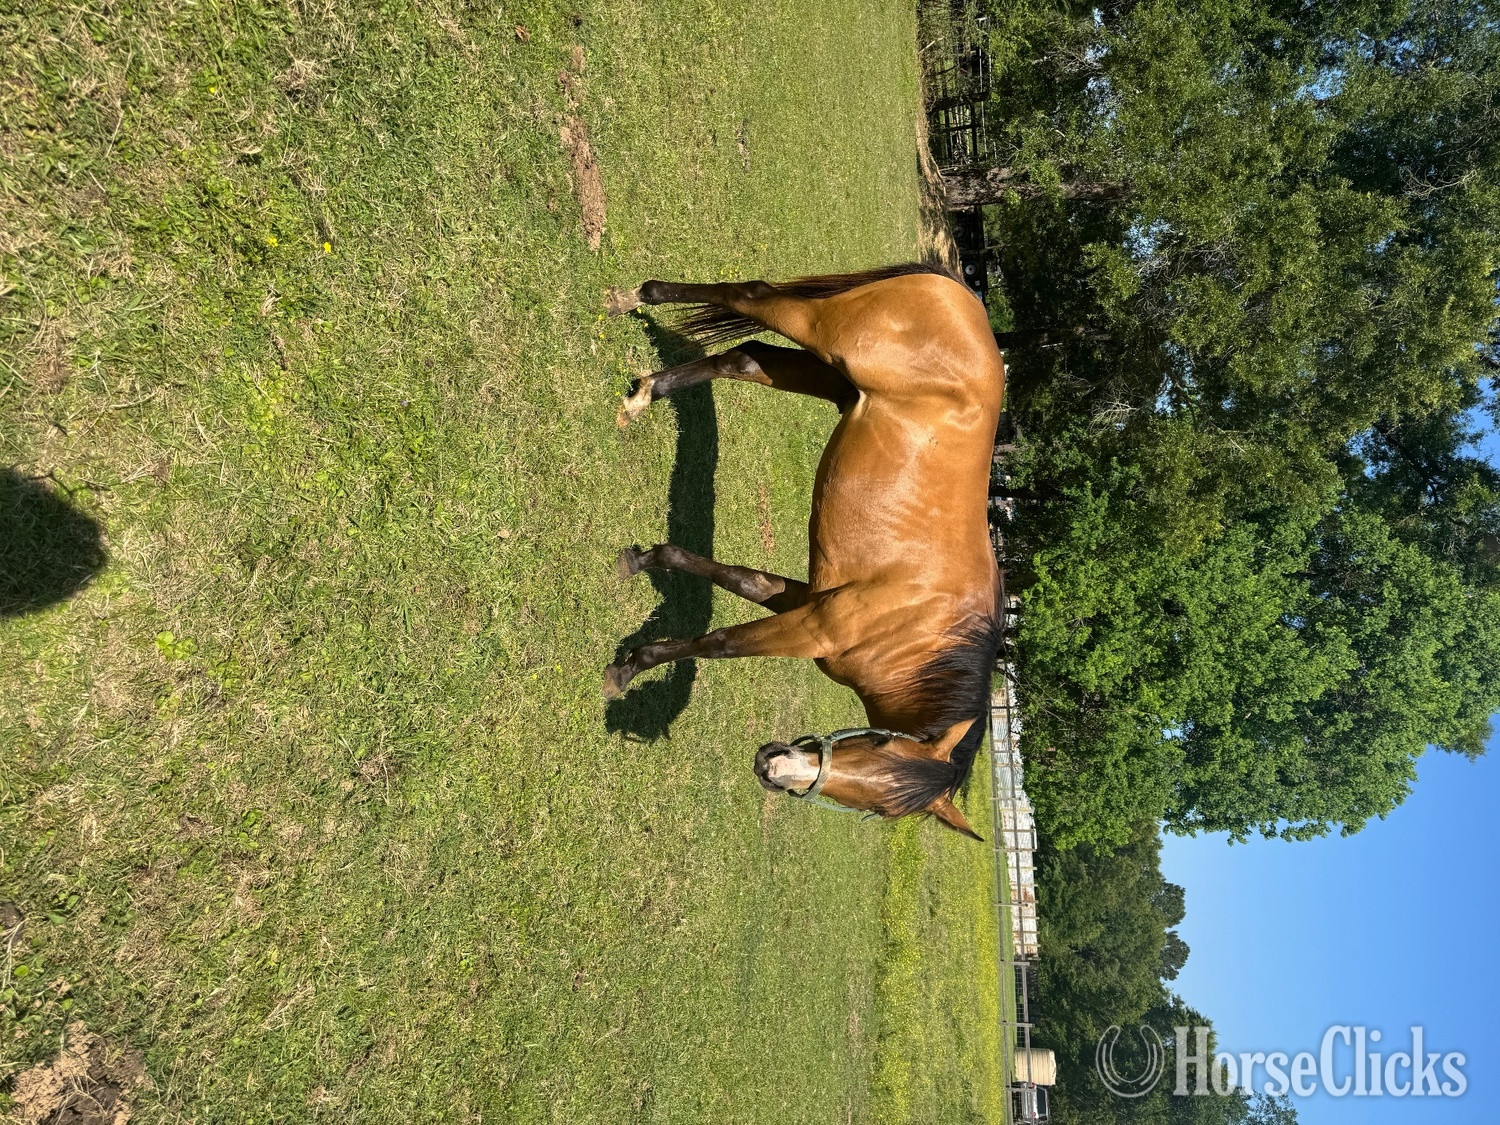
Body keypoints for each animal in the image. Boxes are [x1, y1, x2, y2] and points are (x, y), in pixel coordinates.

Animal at [603, 263, 1005, 840]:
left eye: (881, 811)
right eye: (876, 743)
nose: (772, 767)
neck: (921, 638)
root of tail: (962, 296)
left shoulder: (806, 599)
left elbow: (739, 578)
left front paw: (646, 560)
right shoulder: (812, 627)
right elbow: (720, 643)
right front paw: (629, 668)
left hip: (830, 378)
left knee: (745, 358)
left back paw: (644, 392)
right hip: (822, 333)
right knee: (750, 295)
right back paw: (632, 299)